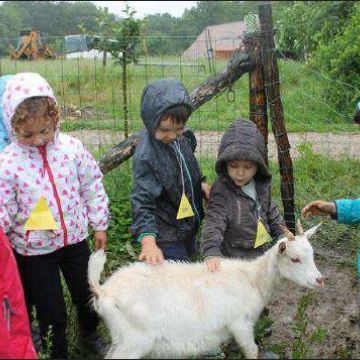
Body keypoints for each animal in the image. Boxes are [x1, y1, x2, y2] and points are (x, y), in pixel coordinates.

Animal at [87, 224, 324, 358]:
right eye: (295, 258)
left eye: (312, 254)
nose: (319, 280)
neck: (251, 279)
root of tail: (103, 291)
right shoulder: (240, 323)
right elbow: (251, 350)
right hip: (134, 340)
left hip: (122, 339)